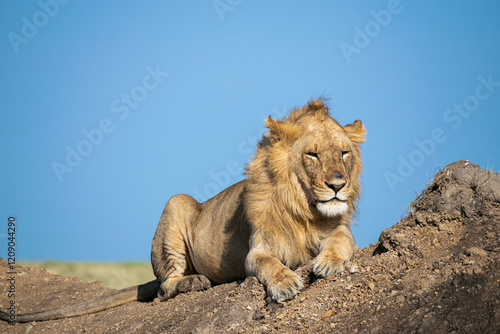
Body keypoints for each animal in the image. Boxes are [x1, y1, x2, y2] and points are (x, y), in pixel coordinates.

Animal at [1, 98, 366, 322]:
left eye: (344, 153)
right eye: (313, 155)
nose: (338, 185)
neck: (305, 210)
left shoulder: (340, 231)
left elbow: (339, 242)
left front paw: (329, 264)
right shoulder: (257, 250)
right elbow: (267, 264)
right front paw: (286, 283)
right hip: (176, 203)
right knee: (164, 288)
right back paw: (195, 282)